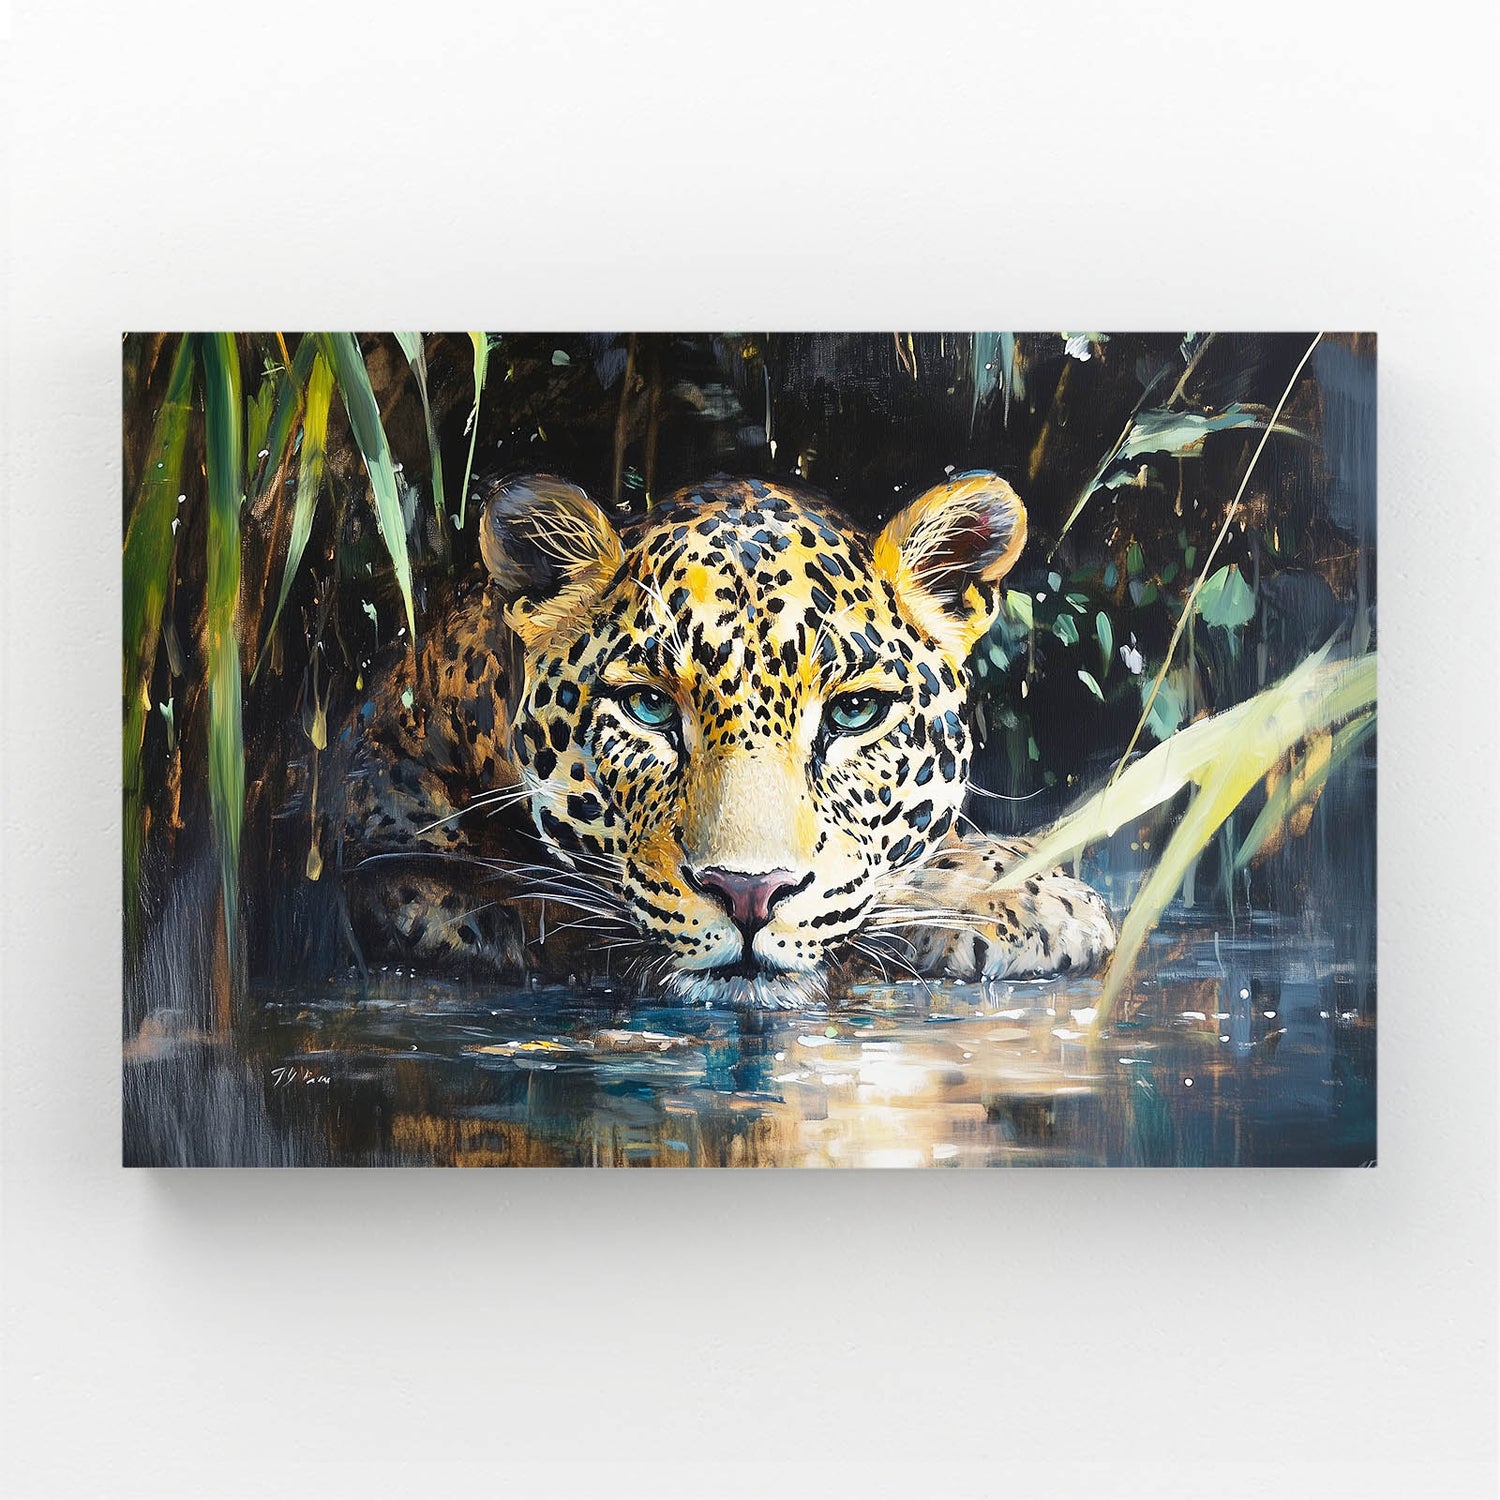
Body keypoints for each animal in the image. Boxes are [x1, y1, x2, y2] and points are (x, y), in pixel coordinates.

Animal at [331, 470, 1115, 1009]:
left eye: (854, 712)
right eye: (649, 706)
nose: (748, 893)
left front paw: (1029, 887)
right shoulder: (398, 854)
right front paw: (1023, 901)